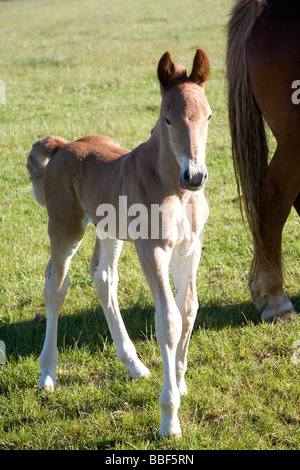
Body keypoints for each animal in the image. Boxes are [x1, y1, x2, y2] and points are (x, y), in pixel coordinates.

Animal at [27, 49, 211, 438]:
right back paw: (47, 374)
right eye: (167, 120)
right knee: (56, 285)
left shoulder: (189, 248)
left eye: (208, 116)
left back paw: (134, 365)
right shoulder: (152, 249)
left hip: (108, 232)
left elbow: (189, 310)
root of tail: (63, 146)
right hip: (65, 229)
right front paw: (169, 418)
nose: (195, 176)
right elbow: (168, 321)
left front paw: (181, 382)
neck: (174, 188)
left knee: (103, 278)